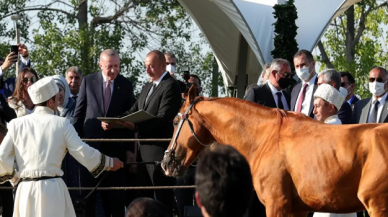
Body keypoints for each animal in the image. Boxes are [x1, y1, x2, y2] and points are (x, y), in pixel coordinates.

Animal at [161, 86, 388, 217]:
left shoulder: (276, 204)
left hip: (377, 205)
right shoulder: (299, 210)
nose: (166, 163)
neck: (265, 137)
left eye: (175, 121)